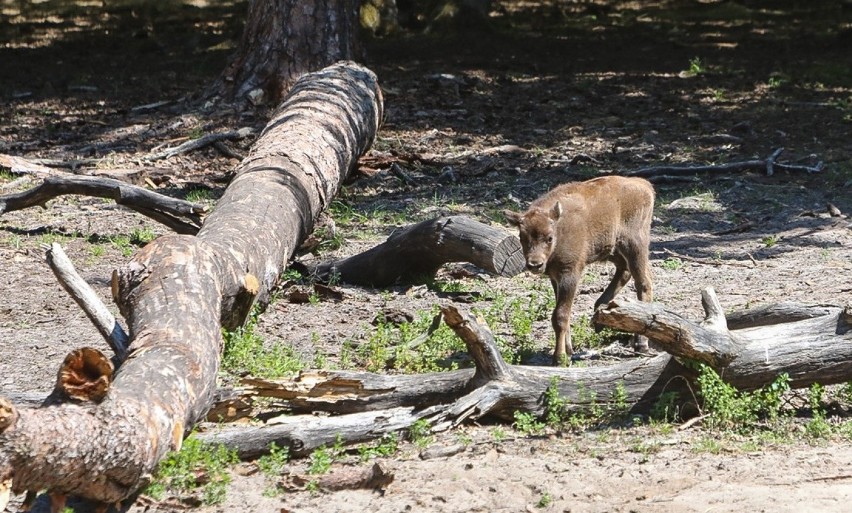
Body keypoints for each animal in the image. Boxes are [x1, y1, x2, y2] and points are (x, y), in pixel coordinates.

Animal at [506, 176, 652, 364]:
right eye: (522, 237)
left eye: (549, 237)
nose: (535, 264)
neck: (559, 227)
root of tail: (643, 184)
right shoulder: (555, 277)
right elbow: (563, 314)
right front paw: (568, 350)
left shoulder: (570, 274)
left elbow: (560, 315)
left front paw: (559, 358)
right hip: (612, 249)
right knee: (625, 271)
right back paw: (600, 312)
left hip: (634, 245)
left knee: (643, 283)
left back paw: (641, 343)